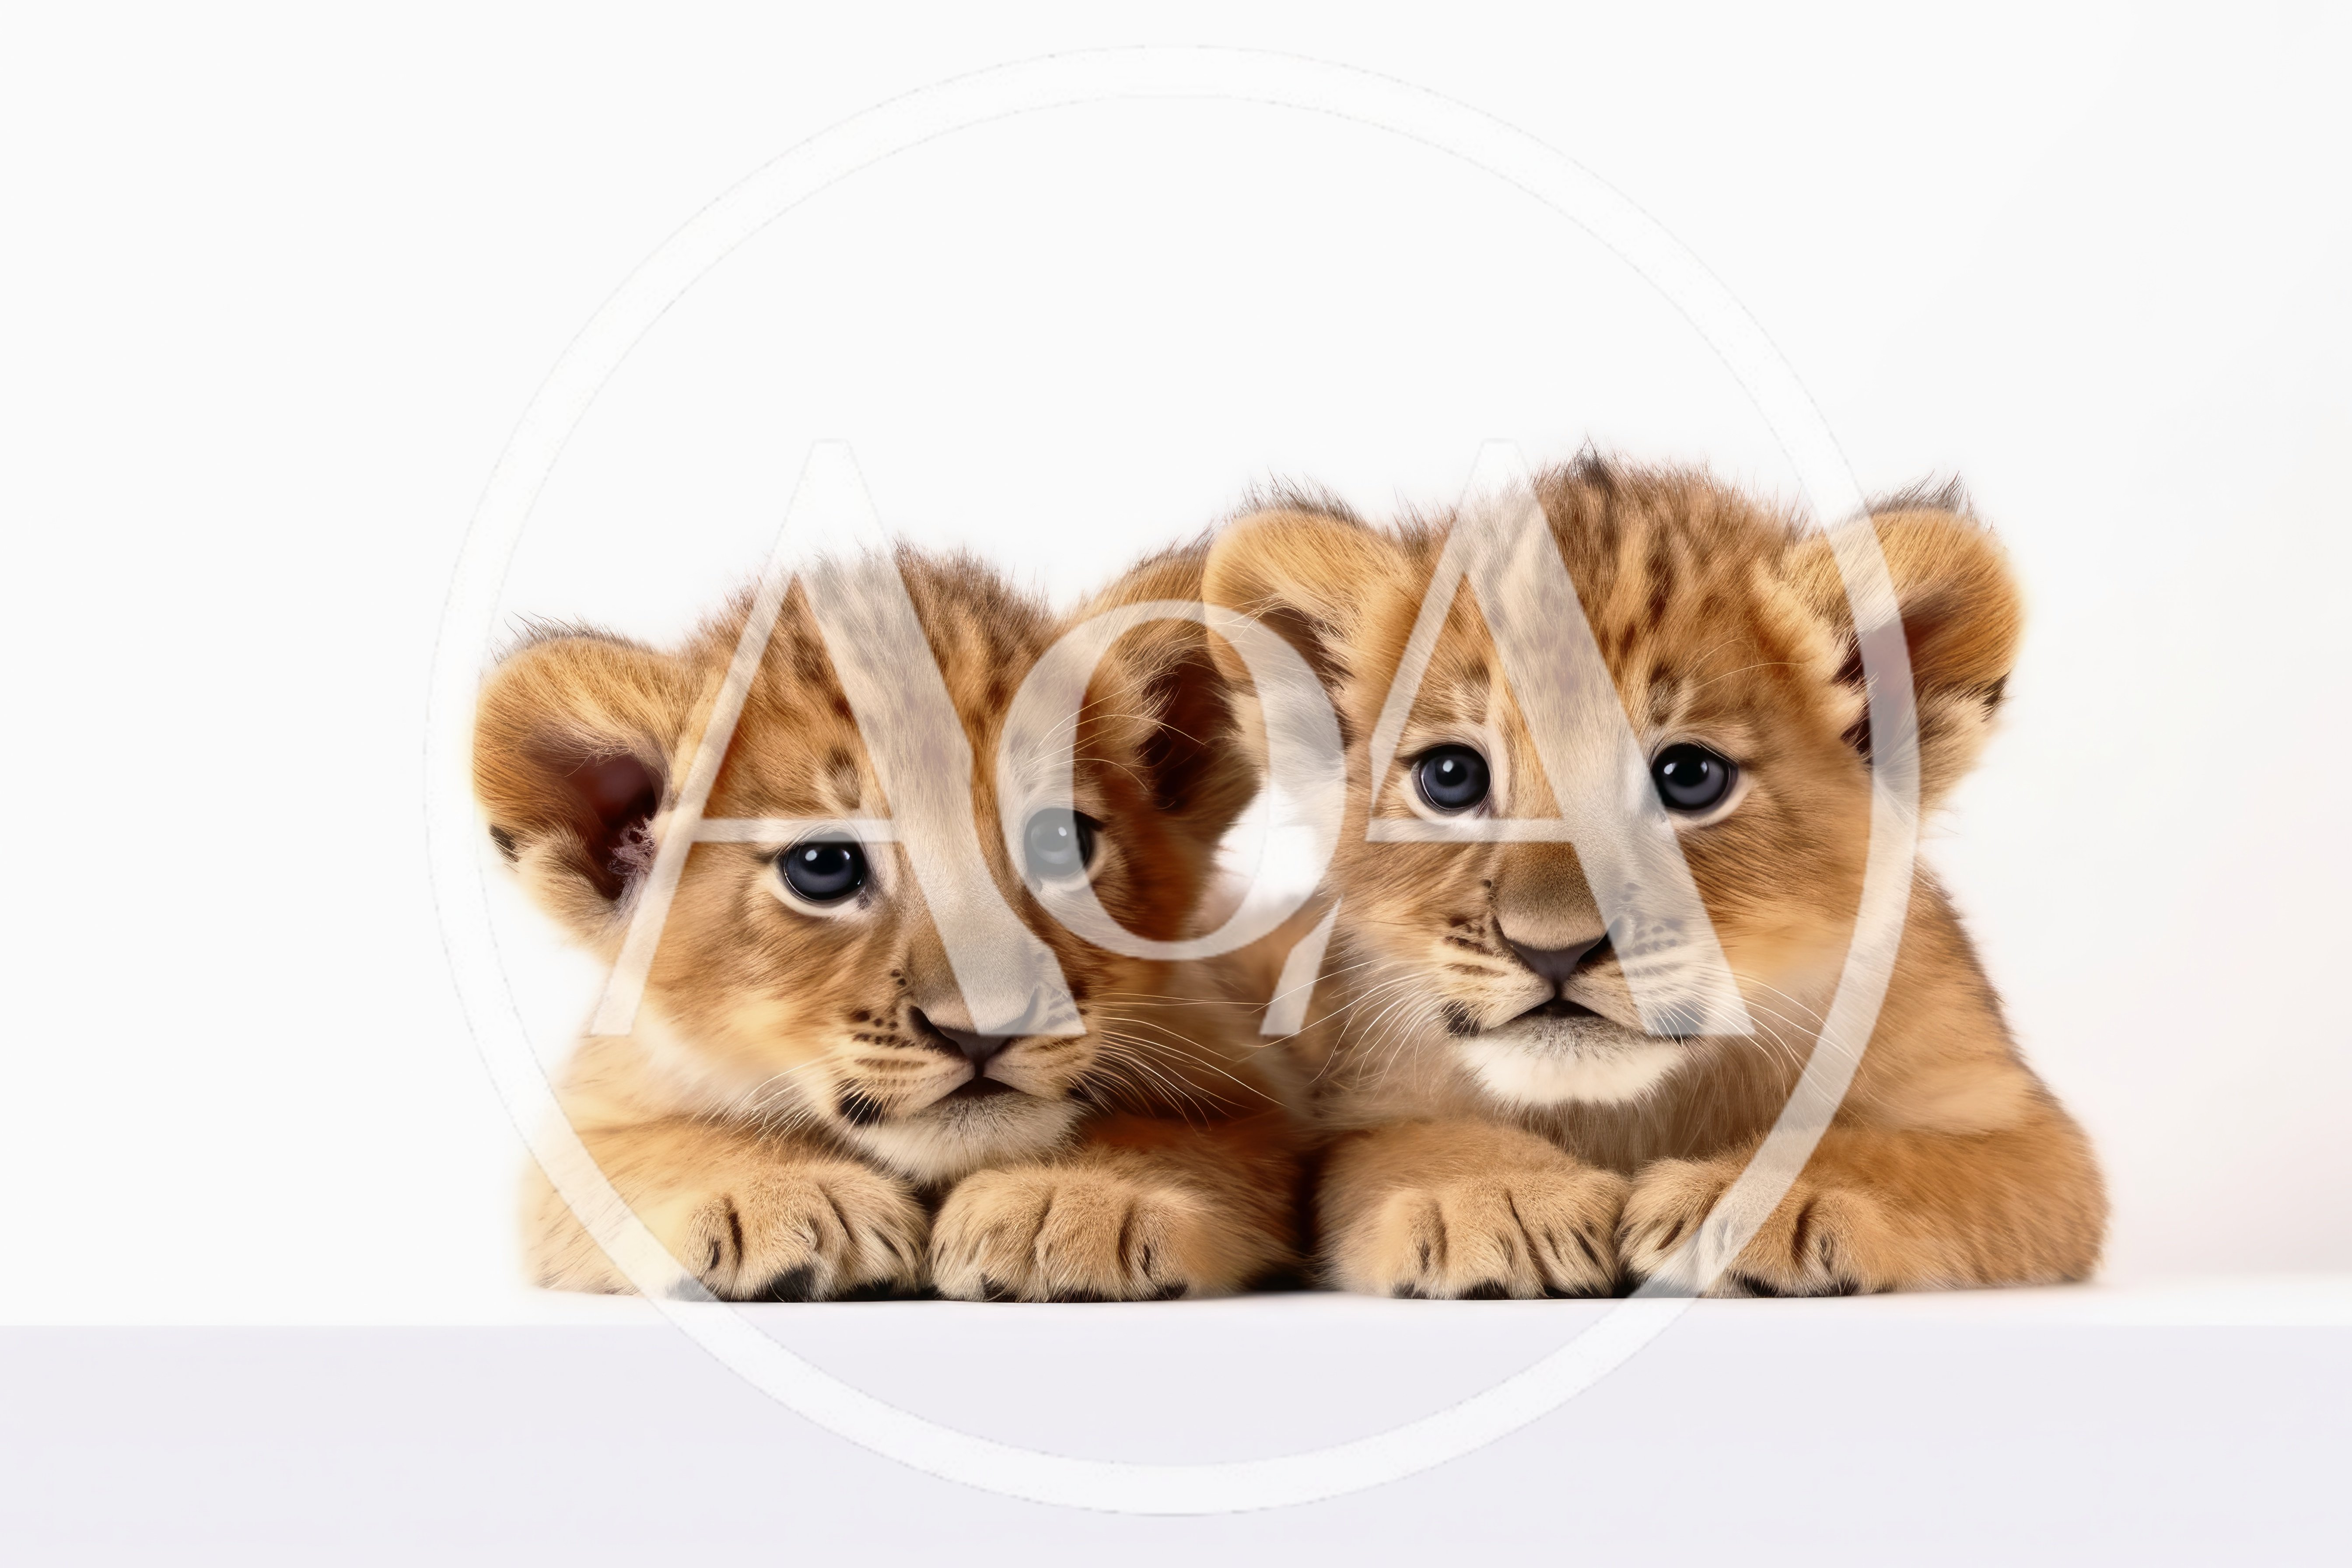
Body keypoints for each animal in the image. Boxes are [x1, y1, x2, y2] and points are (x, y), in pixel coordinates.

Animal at [473, 544, 1297, 1301]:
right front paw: (781, 1198)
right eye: (824, 867)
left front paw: (1069, 1201)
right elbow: (654, 1149)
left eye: (1060, 841)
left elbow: (1184, 1137)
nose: (982, 1031)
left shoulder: (1253, 1078)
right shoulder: (593, 1111)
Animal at [1202, 459, 2106, 1297]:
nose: (1553, 951)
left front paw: (1744, 1201)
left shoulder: (2029, 1131)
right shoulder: (1363, 1101)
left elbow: (1907, 1155)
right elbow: (1397, 1146)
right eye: (1451, 777)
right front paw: (1501, 1196)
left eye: (1690, 777)